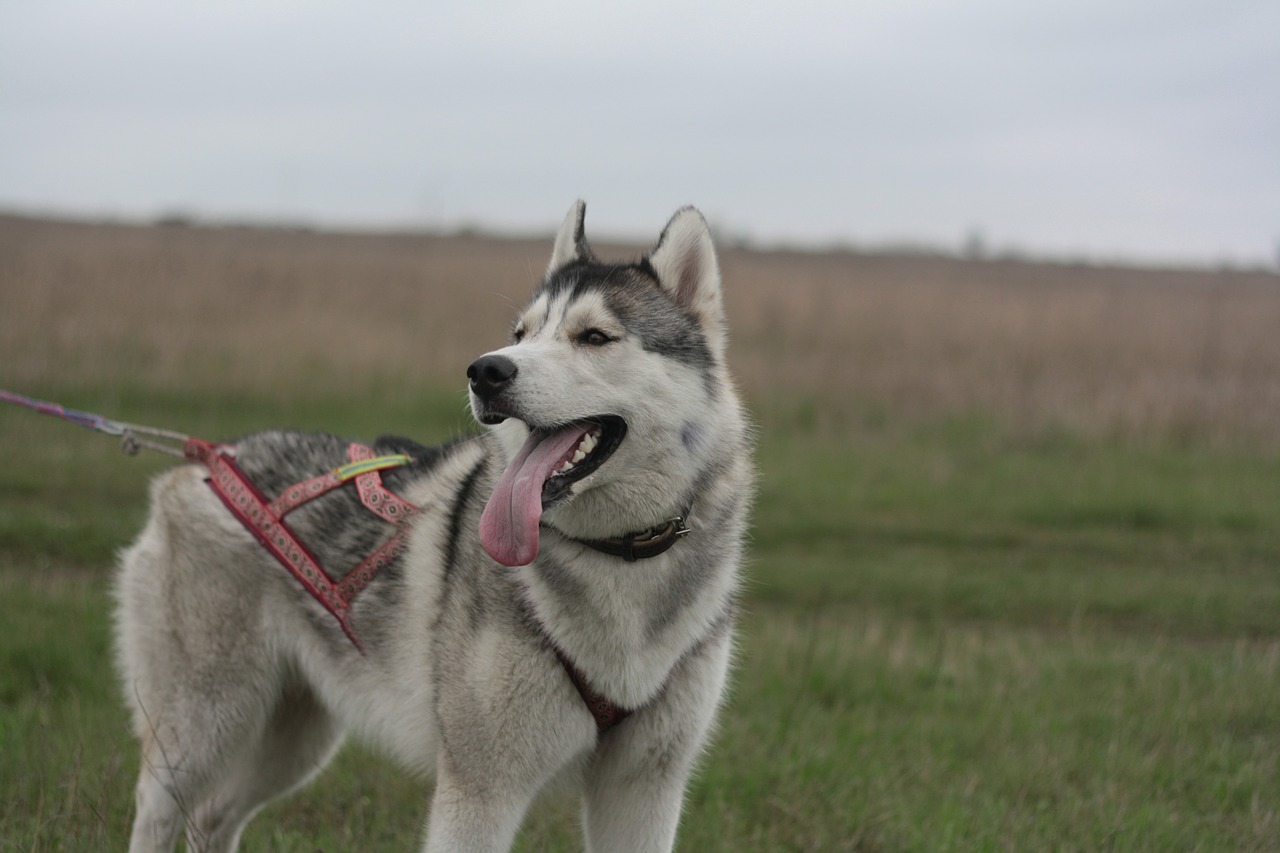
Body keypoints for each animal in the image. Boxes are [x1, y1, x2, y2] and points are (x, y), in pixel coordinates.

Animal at [115, 202, 752, 845]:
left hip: (295, 737)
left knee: (213, 817)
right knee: (158, 813)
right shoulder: (479, 791)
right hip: (202, 728)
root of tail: (206, 460)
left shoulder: (645, 790)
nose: (485, 370)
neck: (617, 555)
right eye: (521, 334)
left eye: (594, 337)